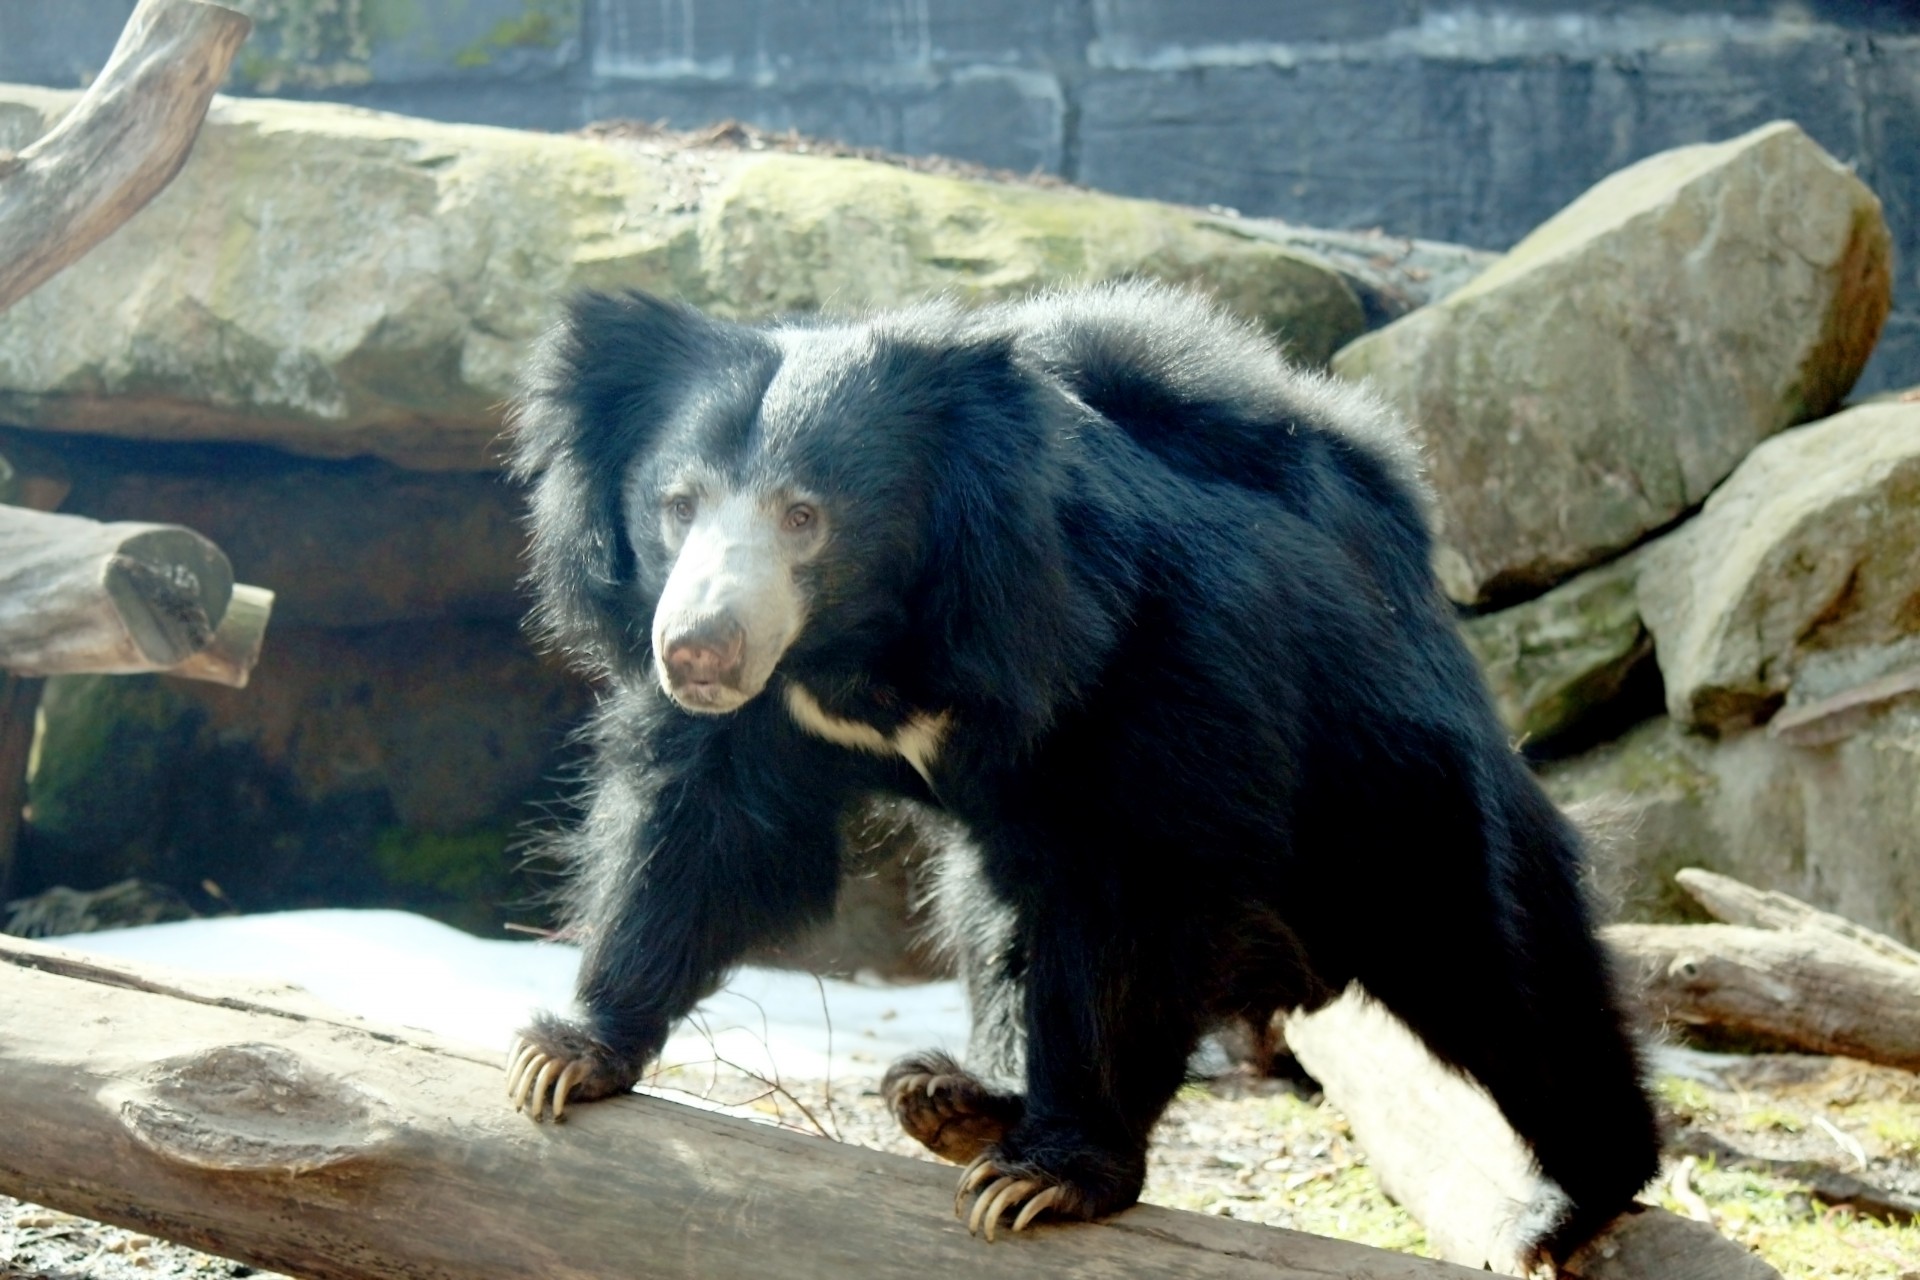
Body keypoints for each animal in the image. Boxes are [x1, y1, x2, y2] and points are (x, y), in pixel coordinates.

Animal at [503, 282, 1658, 1258]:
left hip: (1390, 771)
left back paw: (1568, 1203)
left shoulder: (1150, 657)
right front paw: (568, 1053)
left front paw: (1052, 1177)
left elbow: (1136, 894)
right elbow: (711, 827)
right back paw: (957, 1101)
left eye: (803, 514)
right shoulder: (768, 717)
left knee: (1494, 960)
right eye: (678, 504)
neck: (868, 648)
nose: (699, 650)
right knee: (998, 921)